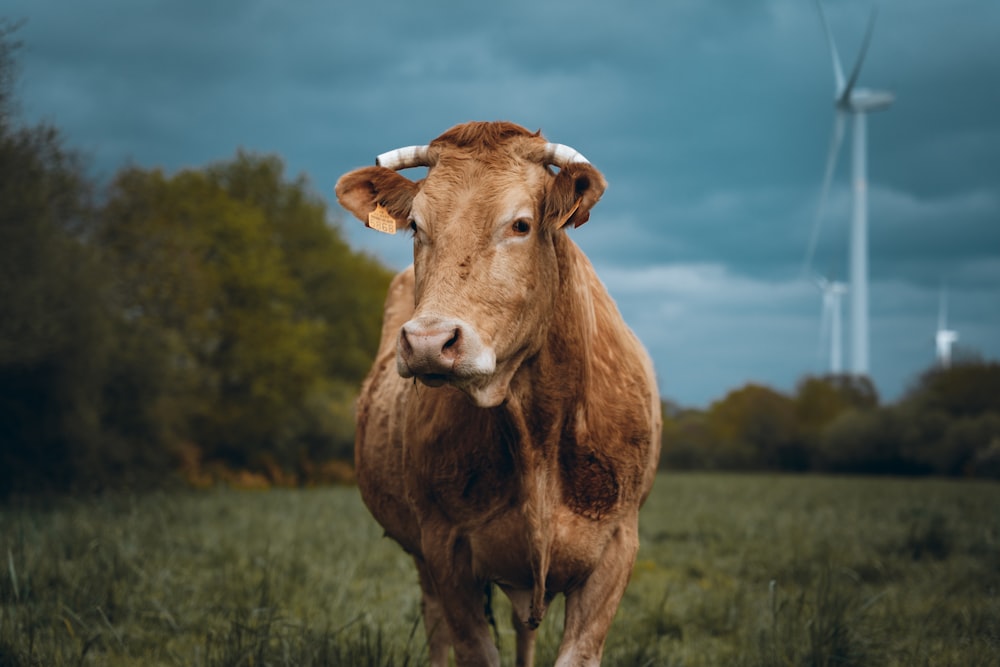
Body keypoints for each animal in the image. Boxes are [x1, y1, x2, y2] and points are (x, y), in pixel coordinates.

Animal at [338, 122, 664, 664]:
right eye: (416, 227)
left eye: (521, 225)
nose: (428, 341)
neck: (537, 430)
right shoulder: (445, 547)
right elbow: (470, 644)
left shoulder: (617, 549)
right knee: (435, 624)